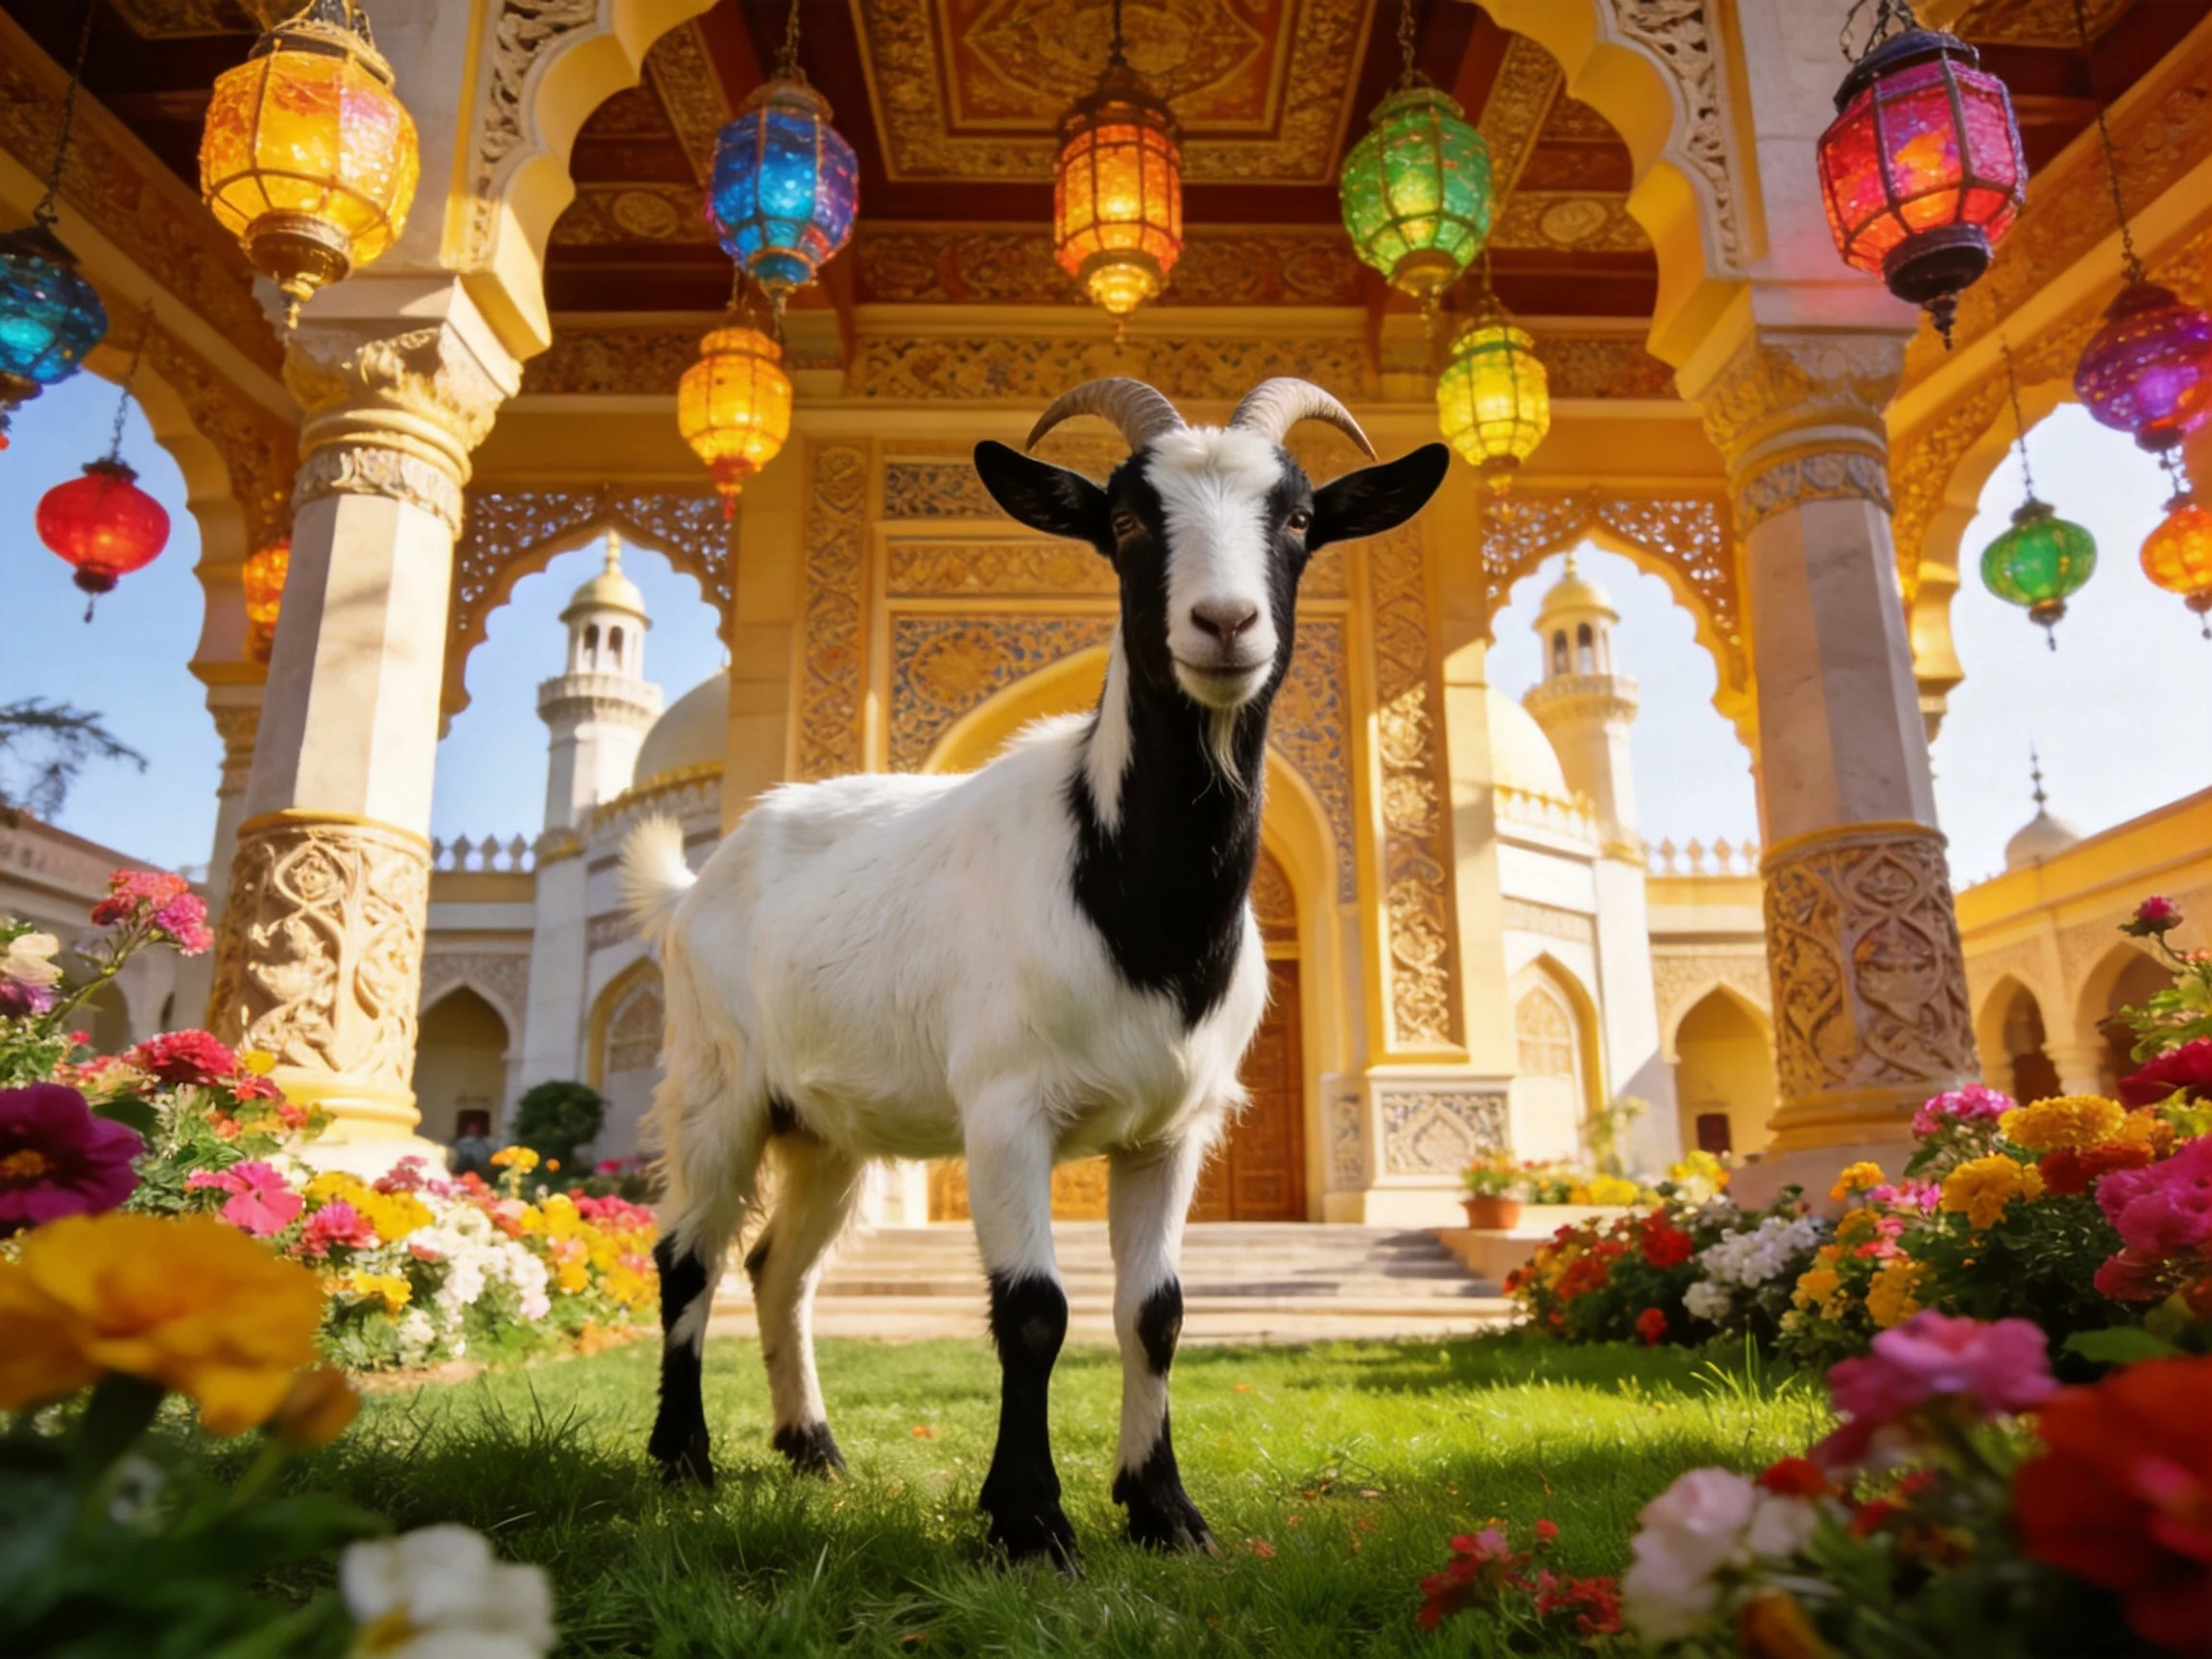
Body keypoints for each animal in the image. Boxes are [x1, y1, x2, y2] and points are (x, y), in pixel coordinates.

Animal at [622, 377, 1449, 1565]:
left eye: (1298, 519)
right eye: (1127, 521)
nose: (1225, 624)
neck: (1135, 907)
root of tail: (697, 884)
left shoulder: (1171, 1131)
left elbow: (1157, 1312)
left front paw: (1164, 1511)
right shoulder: (1006, 1109)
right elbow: (1033, 1309)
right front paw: (1029, 1523)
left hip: (827, 1126)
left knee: (782, 1264)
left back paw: (814, 1451)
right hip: (716, 1082)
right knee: (688, 1256)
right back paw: (683, 1460)